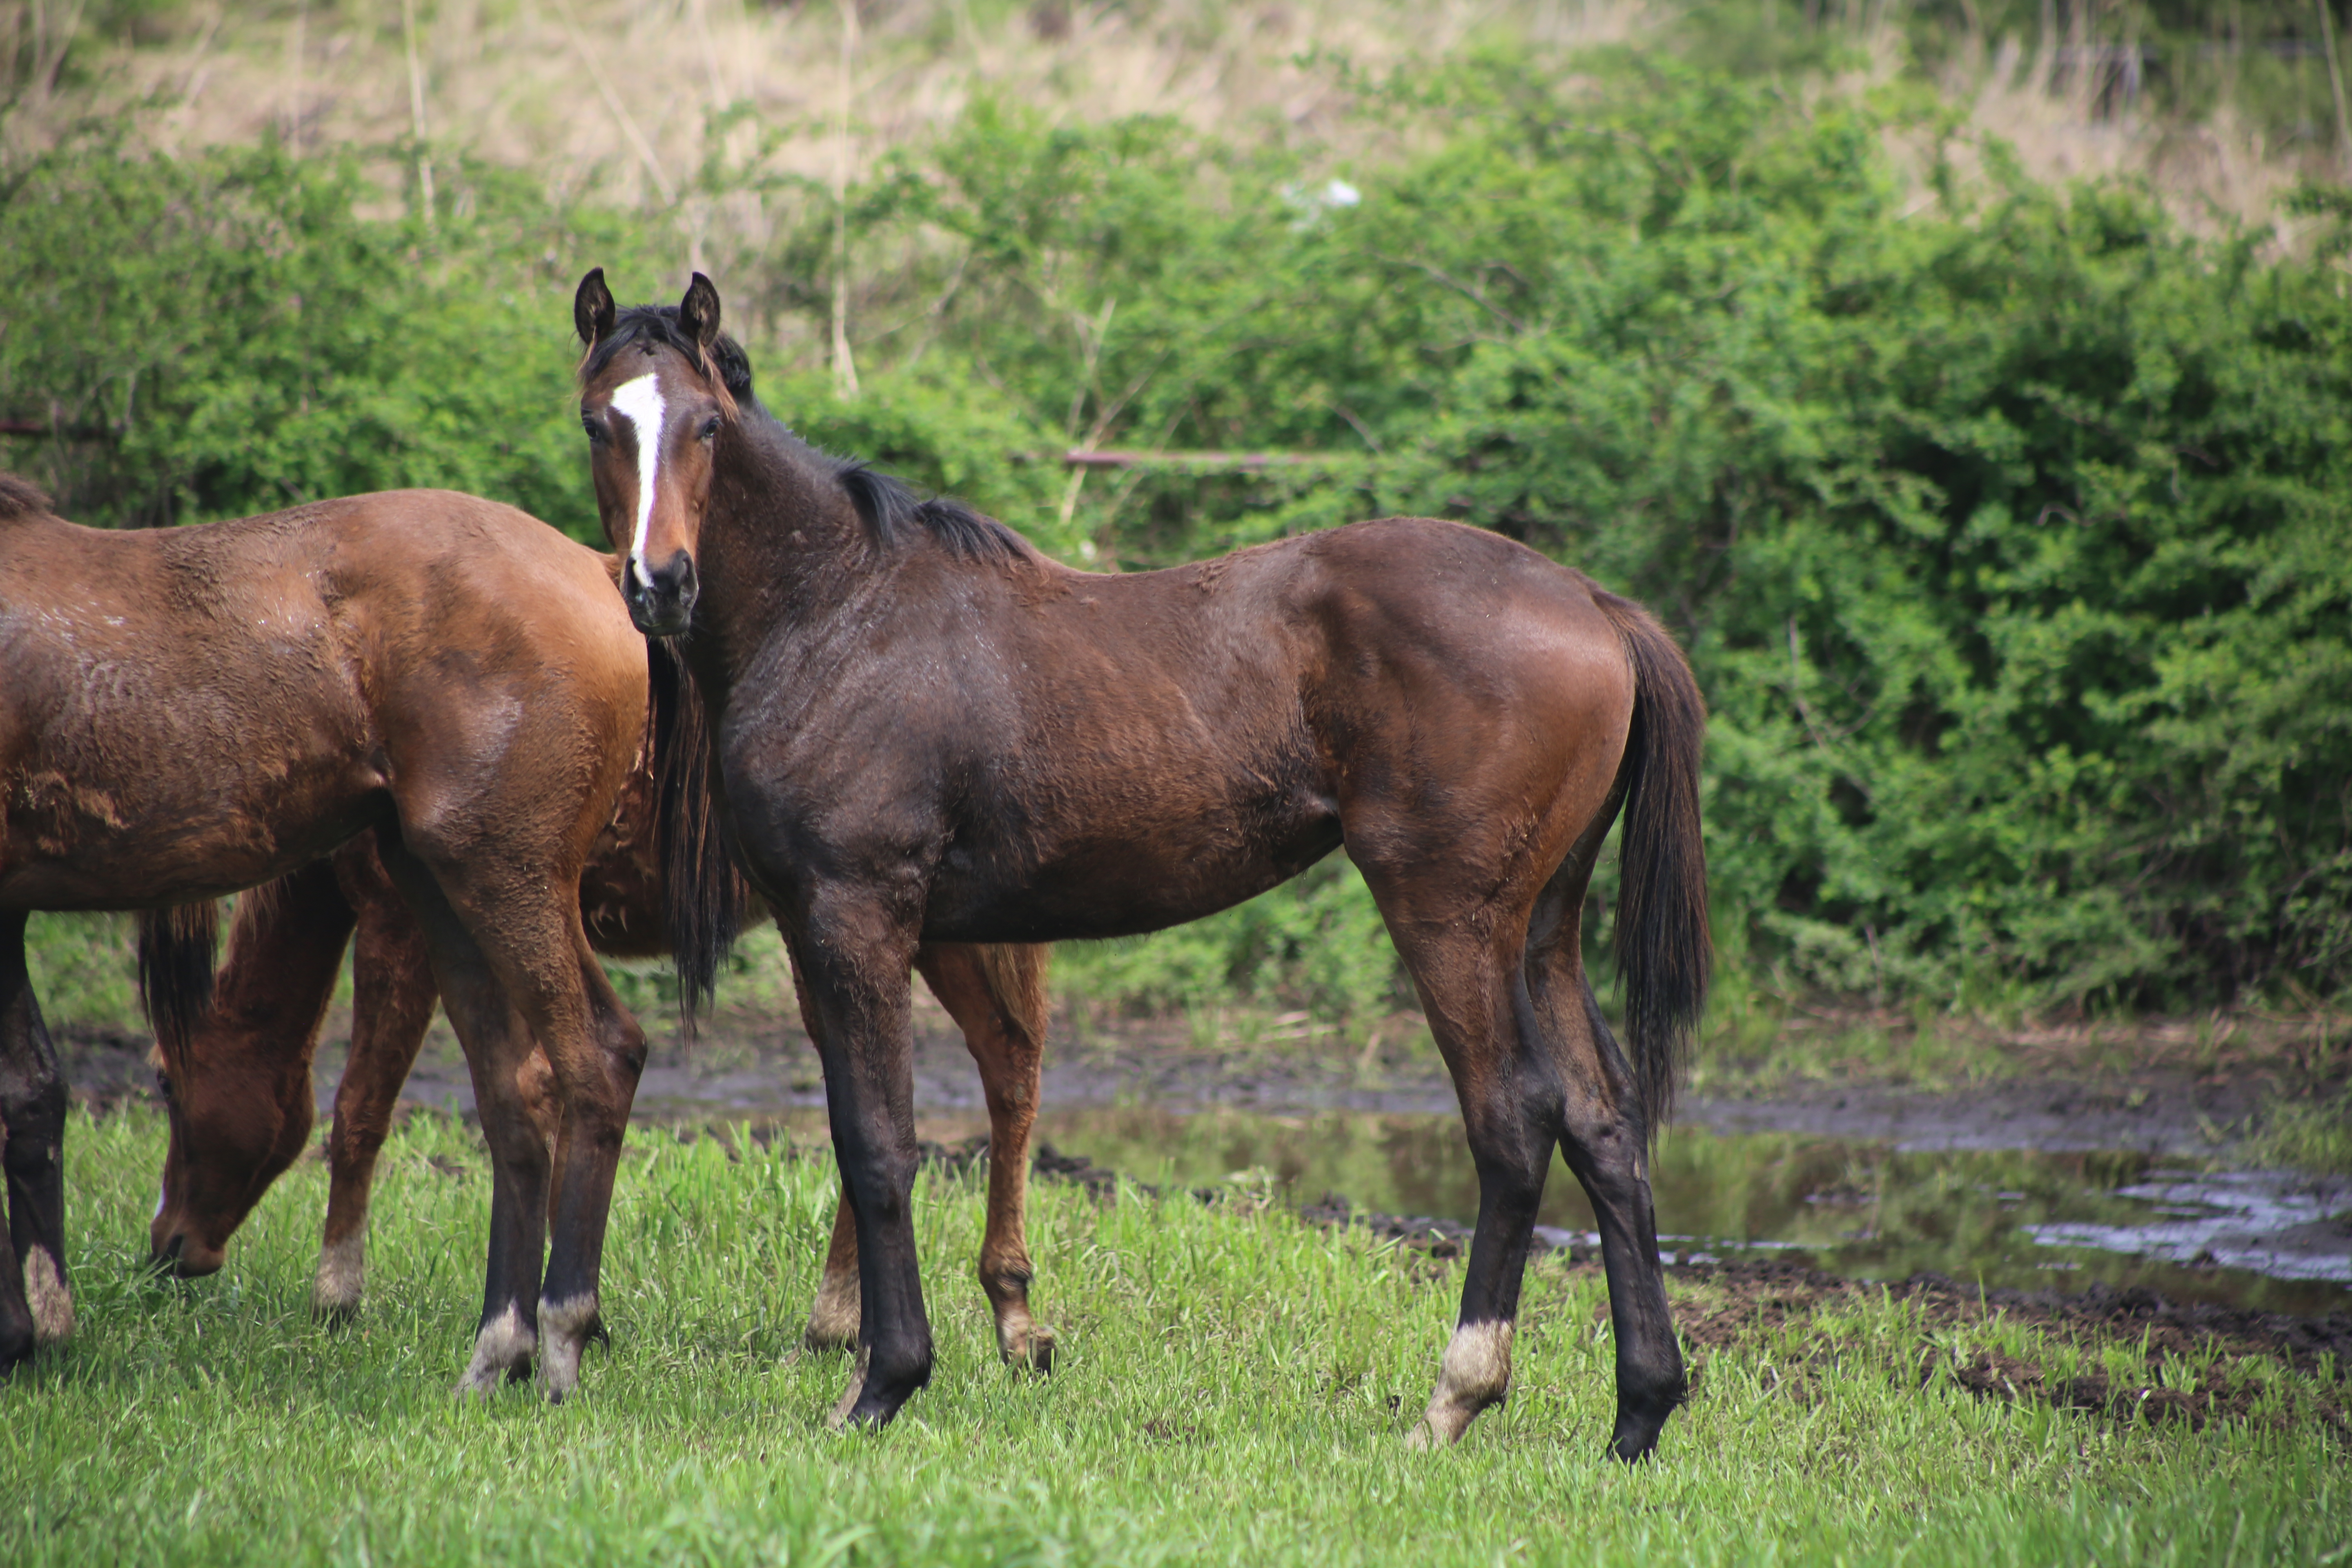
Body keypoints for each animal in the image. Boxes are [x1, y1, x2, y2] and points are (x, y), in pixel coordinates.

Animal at [2, 472, 654, 1392]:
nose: (168, 1250)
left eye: (164, 1078)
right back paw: (500, 1348)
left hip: (505, 883)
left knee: (597, 1058)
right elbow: (30, 1094)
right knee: (516, 1095)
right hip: (449, 892)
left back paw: (564, 1334)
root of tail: (599, 577)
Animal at [154, 790, 1058, 1363]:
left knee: (1004, 1064)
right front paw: (569, 1304)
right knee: (960, 1075)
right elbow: (548, 1092)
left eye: (165, 1082)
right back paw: (863, 1320)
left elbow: (361, 1111)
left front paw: (336, 1294)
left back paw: (986, 1313)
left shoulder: (399, 921)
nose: (166, 1248)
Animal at [569, 276, 1712, 1467]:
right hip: (1542, 928)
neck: (835, 612)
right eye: (601, 422)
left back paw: (1457, 1396)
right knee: (1603, 1125)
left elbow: (877, 1142)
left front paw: (883, 1383)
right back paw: (1638, 1411)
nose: (659, 584)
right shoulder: (825, 927)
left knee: (1514, 1120)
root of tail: (1596, 607)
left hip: (1449, 919)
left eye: (706, 426)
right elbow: (863, 1134)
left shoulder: (855, 915)